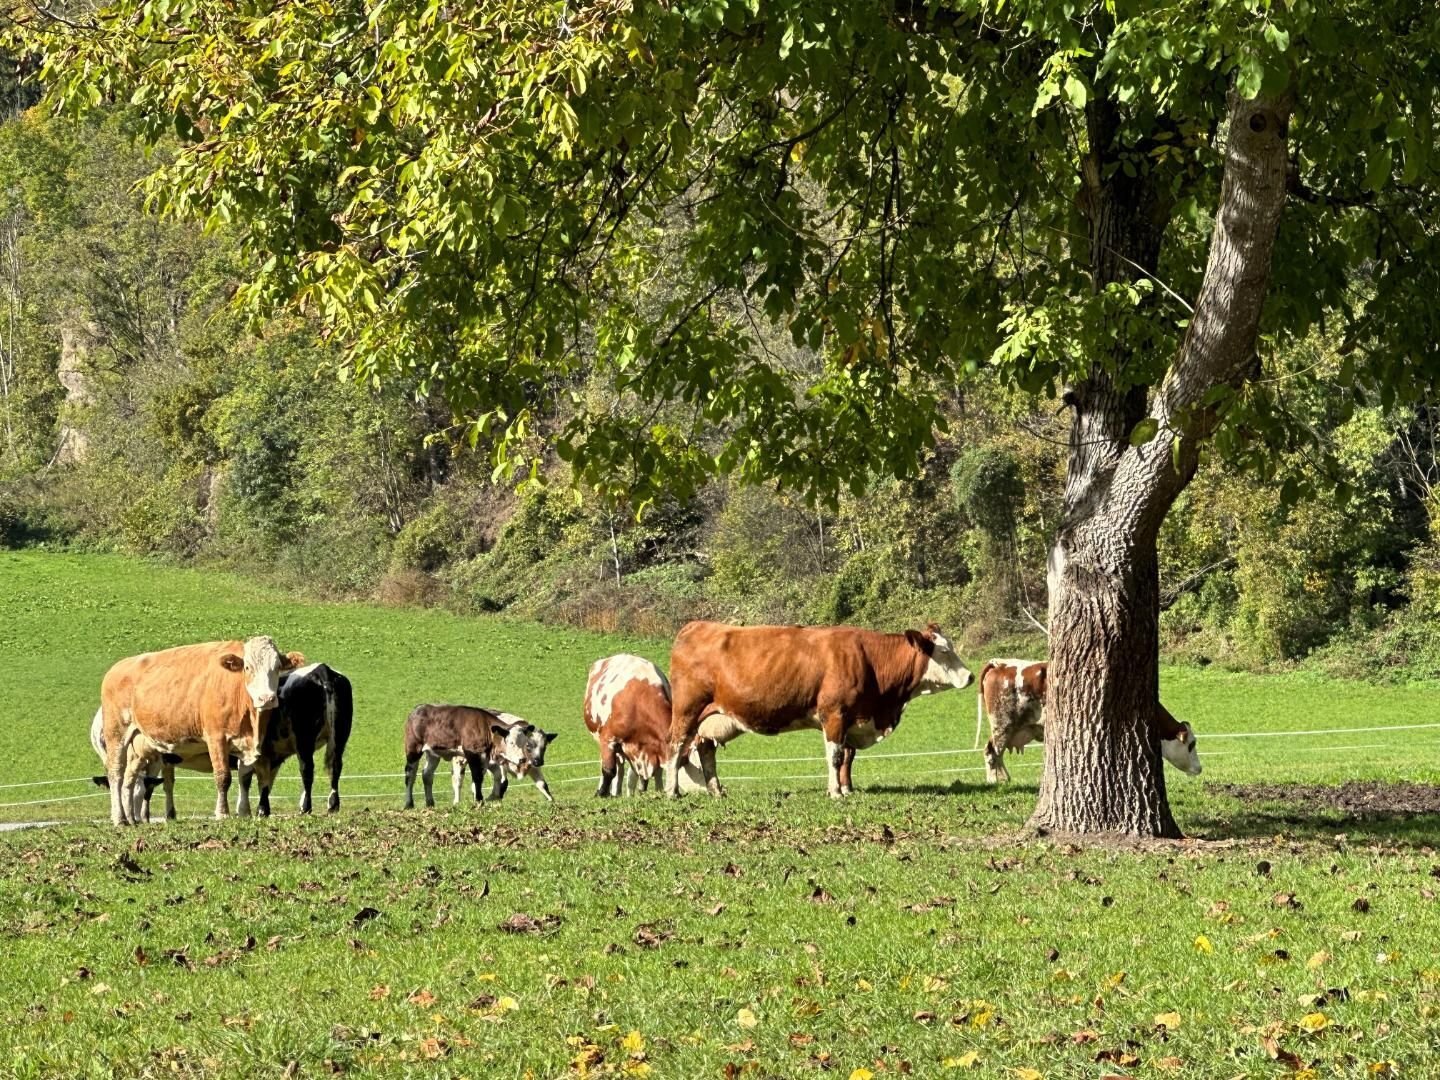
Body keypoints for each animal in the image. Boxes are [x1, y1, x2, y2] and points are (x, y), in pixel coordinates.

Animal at [99, 633, 303, 829]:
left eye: (277, 666)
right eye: (247, 667)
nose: (266, 698)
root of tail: (117, 668)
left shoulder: (248, 745)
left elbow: (245, 778)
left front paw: (245, 813)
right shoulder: (216, 738)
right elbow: (223, 777)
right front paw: (223, 814)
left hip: (137, 748)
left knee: (129, 781)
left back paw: (131, 818)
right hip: (116, 733)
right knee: (116, 773)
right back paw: (120, 819)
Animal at [584, 656, 714, 800]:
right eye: (700, 769)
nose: (707, 791)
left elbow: (652, 772)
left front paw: (654, 791)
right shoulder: (608, 739)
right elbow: (608, 770)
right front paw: (601, 793)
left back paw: (617, 793)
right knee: (615, 768)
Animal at [668, 622, 973, 800]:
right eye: (944, 651)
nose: (970, 676)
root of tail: (697, 625)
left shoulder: (851, 719)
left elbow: (848, 756)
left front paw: (846, 789)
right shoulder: (835, 714)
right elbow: (836, 756)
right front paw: (836, 792)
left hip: (708, 718)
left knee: (705, 749)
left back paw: (716, 790)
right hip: (687, 711)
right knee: (675, 747)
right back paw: (673, 792)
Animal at [967, 659, 1203, 789]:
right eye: (1191, 744)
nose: (1199, 768)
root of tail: (1000, 664)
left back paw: (1004, 778)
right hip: (1003, 725)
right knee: (991, 752)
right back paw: (994, 781)